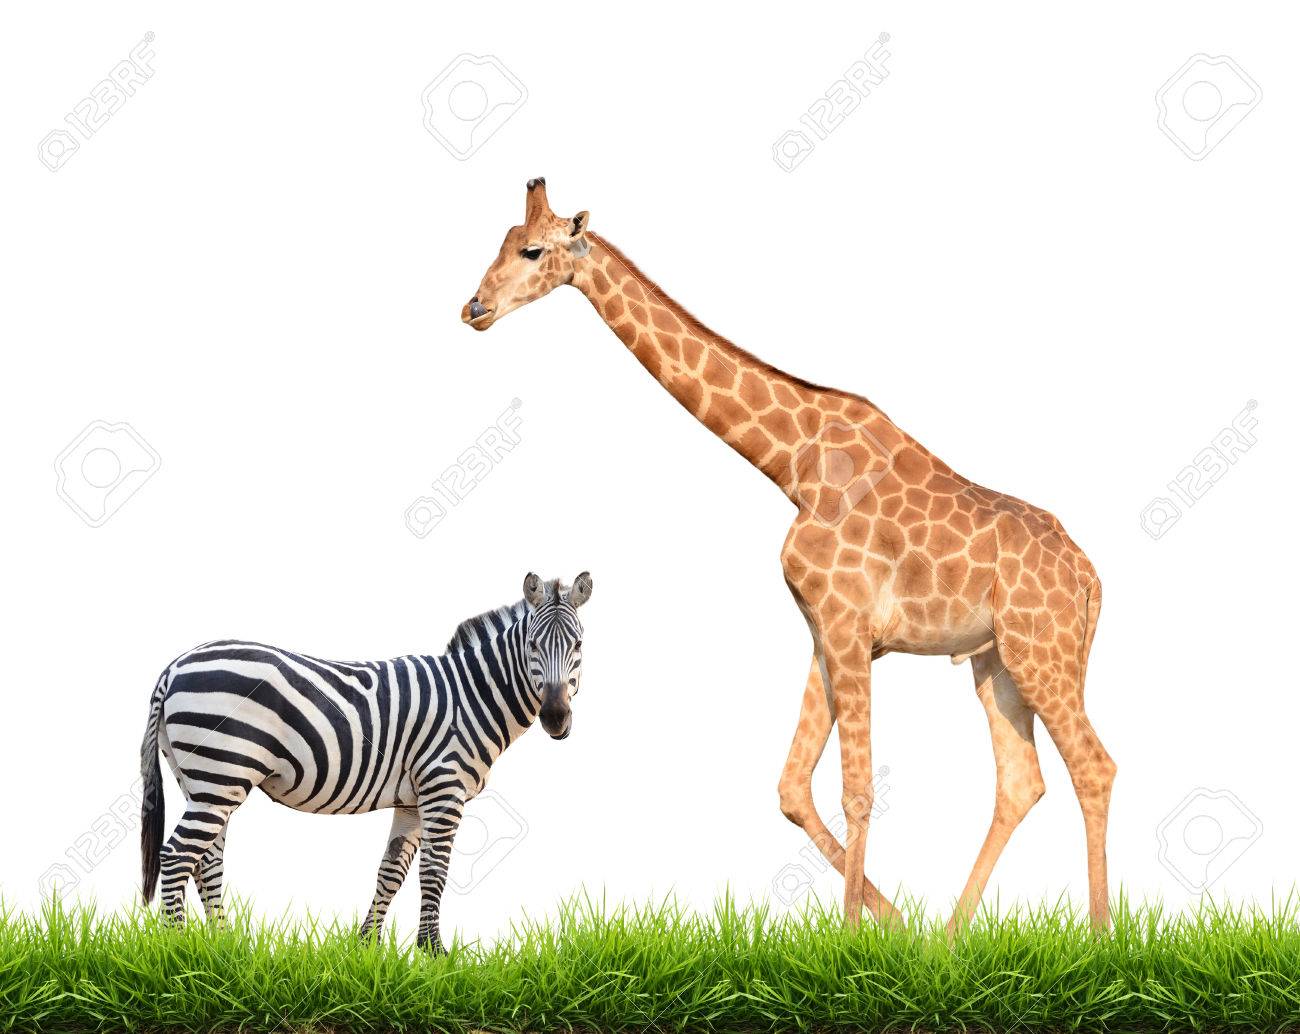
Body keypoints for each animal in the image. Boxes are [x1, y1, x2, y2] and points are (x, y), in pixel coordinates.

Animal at [139, 571, 591, 950]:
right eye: (532, 645)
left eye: (579, 645)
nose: (555, 717)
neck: (471, 695)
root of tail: (173, 667)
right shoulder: (443, 788)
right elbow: (435, 871)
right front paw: (436, 956)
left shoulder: (412, 800)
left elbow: (391, 872)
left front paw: (367, 949)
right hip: (221, 774)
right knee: (177, 856)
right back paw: (177, 951)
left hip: (202, 781)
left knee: (207, 860)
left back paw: (226, 948)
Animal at [461, 178, 1116, 931]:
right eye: (503, 241)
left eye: (533, 251)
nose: (473, 308)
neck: (793, 462)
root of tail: (1090, 576)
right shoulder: (826, 630)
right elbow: (792, 787)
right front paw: (894, 928)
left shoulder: (848, 624)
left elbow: (857, 788)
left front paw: (855, 941)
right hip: (995, 663)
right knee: (1021, 781)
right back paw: (949, 939)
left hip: (1043, 652)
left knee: (1093, 767)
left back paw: (1102, 938)